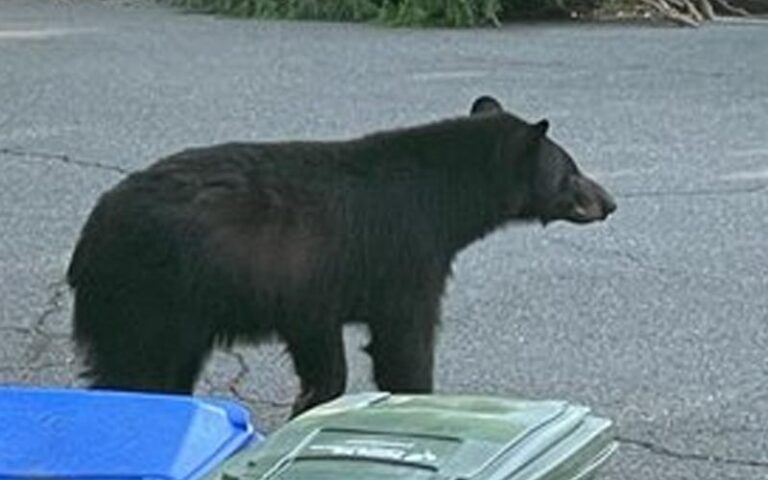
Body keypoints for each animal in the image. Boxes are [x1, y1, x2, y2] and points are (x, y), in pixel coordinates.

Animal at [66, 96, 616, 416]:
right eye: (571, 171)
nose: (609, 201)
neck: (441, 197)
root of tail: (93, 230)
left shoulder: (310, 290)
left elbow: (323, 356)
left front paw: (310, 403)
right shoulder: (406, 254)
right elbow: (404, 339)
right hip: (152, 295)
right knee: (135, 368)